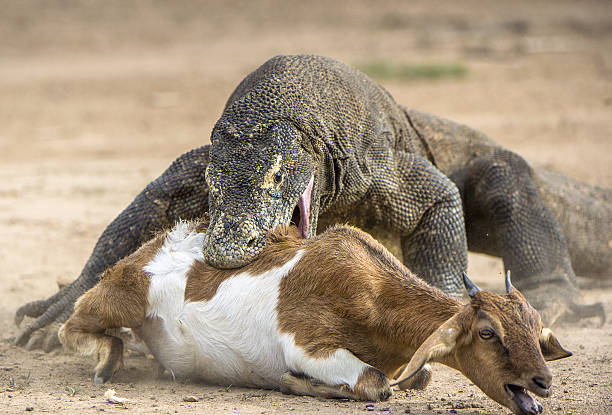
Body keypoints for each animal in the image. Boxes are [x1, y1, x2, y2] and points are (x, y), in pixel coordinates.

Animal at [59, 219, 572, 414]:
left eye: (533, 327)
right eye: (488, 332)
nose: (542, 382)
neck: (373, 294)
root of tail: (162, 241)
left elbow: (415, 377)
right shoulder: (306, 344)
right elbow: (375, 384)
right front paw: (289, 382)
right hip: (119, 296)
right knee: (72, 327)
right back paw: (106, 360)